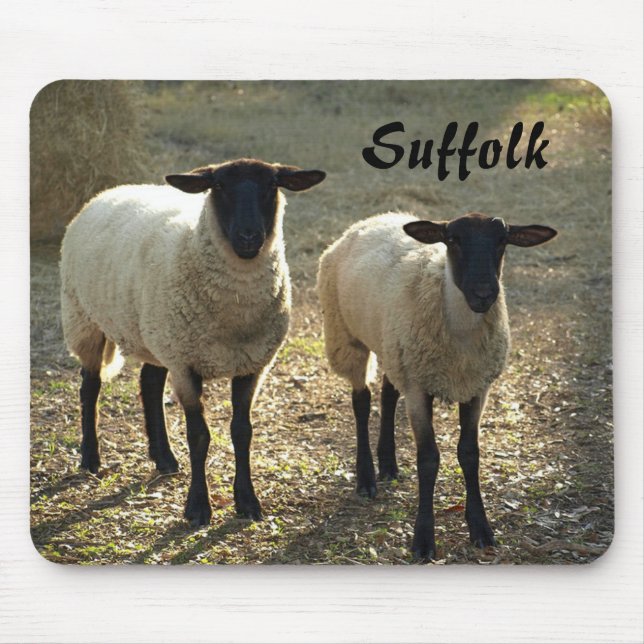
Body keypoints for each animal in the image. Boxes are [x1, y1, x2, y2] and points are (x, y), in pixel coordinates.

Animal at [60, 158, 326, 526]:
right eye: (220, 186)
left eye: (272, 186)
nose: (248, 236)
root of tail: (110, 190)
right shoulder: (186, 366)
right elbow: (199, 436)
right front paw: (198, 507)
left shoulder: (252, 364)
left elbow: (242, 431)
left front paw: (247, 501)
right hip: (84, 318)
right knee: (90, 387)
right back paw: (90, 458)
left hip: (156, 335)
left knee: (149, 383)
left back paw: (164, 458)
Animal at [317, 212, 557, 560]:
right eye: (453, 239)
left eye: (502, 240)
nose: (484, 293)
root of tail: (375, 218)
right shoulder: (419, 389)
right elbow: (428, 459)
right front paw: (424, 539)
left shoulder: (476, 387)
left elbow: (469, 453)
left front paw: (480, 527)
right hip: (347, 338)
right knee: (361, 402)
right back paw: (366, 478)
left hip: (394, 347)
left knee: (388, 394)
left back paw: (388, 464)